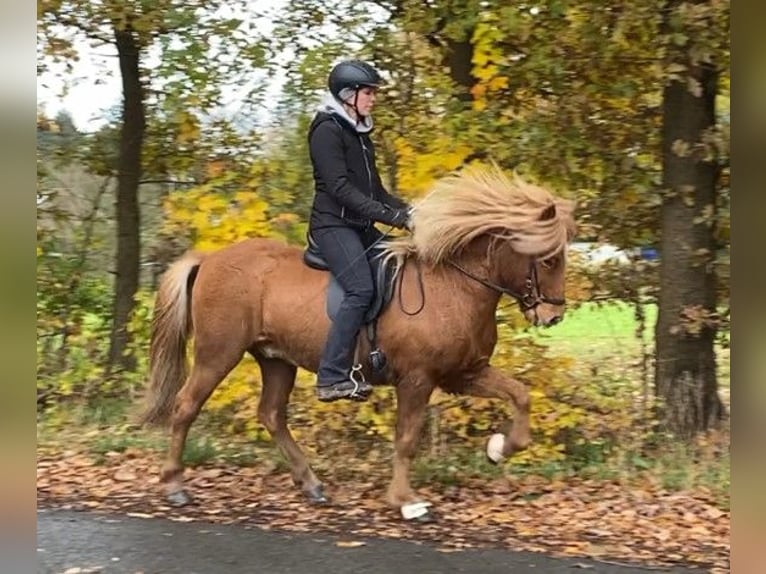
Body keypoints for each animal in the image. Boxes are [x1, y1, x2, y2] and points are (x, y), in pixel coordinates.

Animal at [141, 164, 580, 524]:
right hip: (218, 354)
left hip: (276, 359)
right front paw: (406, 501)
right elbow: (407, 439)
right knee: (186, 406)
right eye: (547, 259)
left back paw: (312, 484)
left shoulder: (464, 374)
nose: (552, 316)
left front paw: (499, 448)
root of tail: (208, 259)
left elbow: (520, 395)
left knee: (271, 415)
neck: (453, 285)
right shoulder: (417, 380)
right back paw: (175, 486)